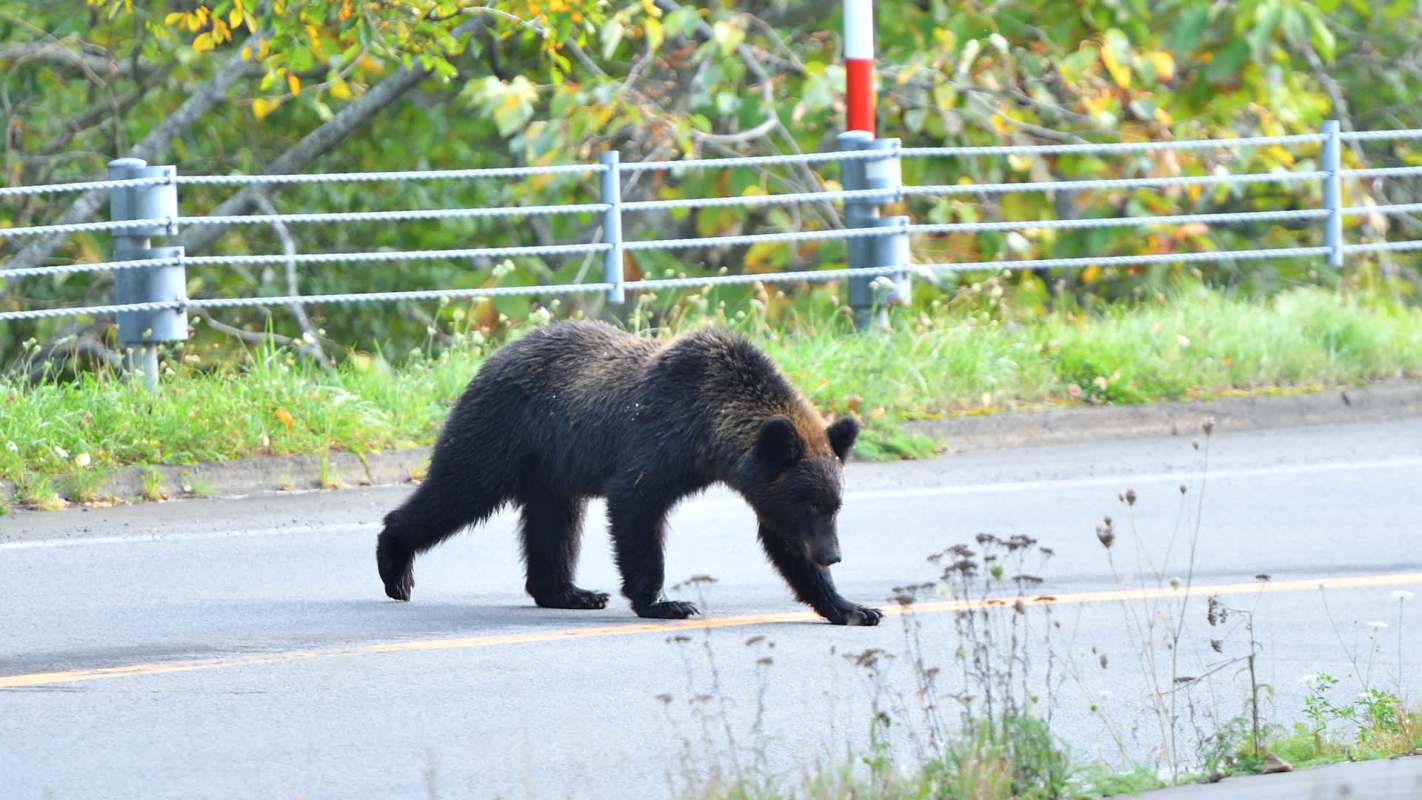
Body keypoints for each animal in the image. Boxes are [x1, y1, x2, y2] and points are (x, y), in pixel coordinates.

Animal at [375, 319, 882, 626]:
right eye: (811, 502)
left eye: (835, 505)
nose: (832, 555)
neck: (709, 433)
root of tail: (495, 355)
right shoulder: (659, 441)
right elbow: (637, 510)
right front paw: (666, 601)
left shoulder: (760, 484)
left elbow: (782, 543)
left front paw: (852, 607)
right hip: (503, 432)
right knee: (458, 491)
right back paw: (395, 564)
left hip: (551, 467)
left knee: (555, 523)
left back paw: (569, 591)